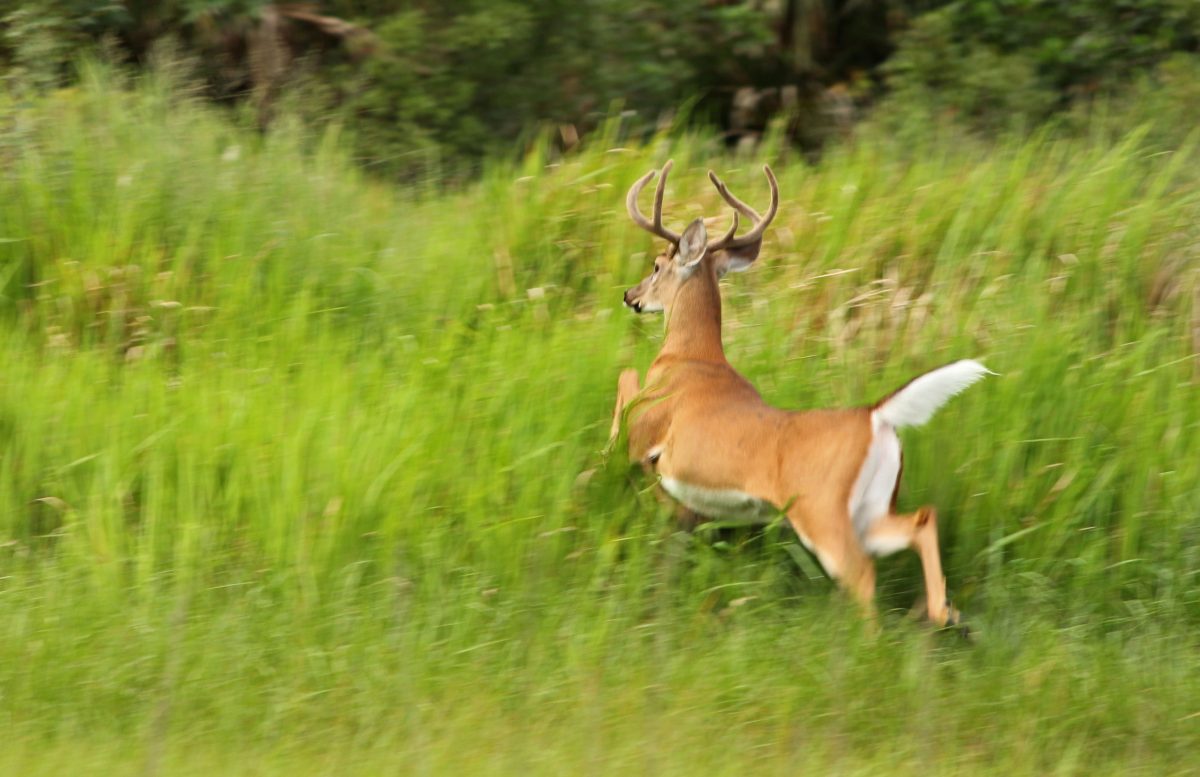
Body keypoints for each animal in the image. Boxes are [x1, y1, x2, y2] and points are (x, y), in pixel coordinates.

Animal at [614, 160, 988, 628]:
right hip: (869, 508)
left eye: (657, 264)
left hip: (821, 508)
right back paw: (943, 612)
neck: (691, 355)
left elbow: (625, 385)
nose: (629, 295)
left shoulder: (646, 431)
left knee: (862, 572)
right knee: (921, 519)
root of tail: (875, 415)